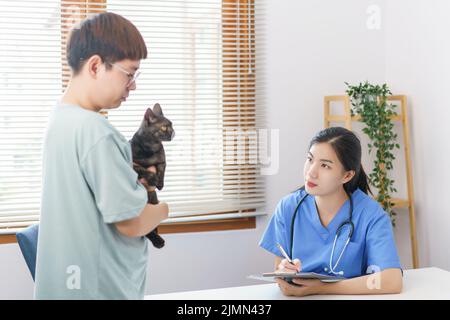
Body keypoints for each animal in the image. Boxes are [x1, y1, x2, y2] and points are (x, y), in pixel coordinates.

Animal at [129, 102, 175, 248]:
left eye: (172, 125)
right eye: (164, 127)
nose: (173, 132)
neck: (151, 147)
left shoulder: (162, 161)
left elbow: (162, 170)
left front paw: (160, 184)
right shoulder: (132, 164)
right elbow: (143, 170)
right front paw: (153, 179)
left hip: (154, 200)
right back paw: (158, 241)